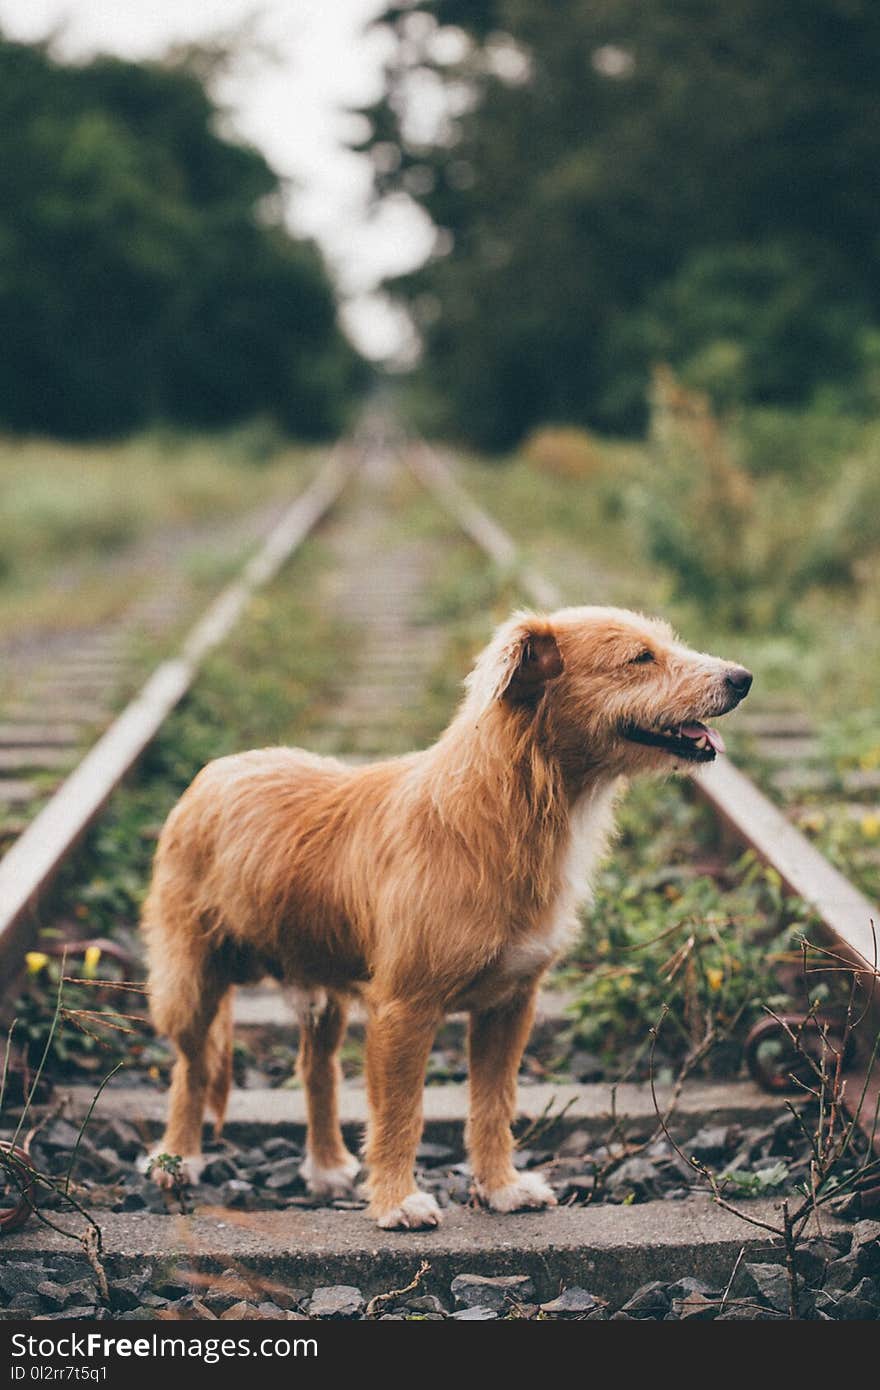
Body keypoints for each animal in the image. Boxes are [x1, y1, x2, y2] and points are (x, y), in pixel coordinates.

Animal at [142, 606, 750, 1228]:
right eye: (640, 658)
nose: (742, 678)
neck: (509, 809)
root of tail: (217, 769)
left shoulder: (510, 1006)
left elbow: (493, 1104)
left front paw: (501, 1187)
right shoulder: (405, 1010)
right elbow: (400, 1113)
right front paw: (397, 1200)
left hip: (322, 988)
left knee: (318, 1069)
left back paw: (327, 1165)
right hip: (191, 981)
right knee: (191, 1067)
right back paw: (179, 1159)